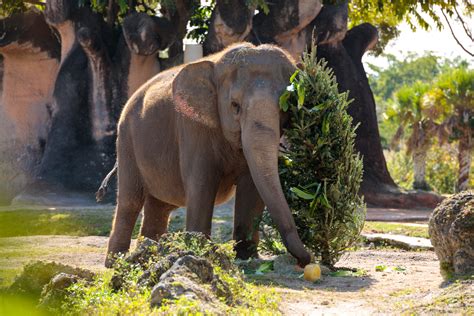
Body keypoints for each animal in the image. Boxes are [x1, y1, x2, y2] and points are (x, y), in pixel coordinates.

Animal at [104, 42, 312, 266]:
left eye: (287, 107)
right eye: (235, 106)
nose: (305, 261)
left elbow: (252, 187)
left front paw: (247, 258)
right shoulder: (193, 127)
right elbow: (202, 184)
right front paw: (198, 252)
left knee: (159, 206)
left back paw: (147, 256)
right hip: (126, 141)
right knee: (130, 202)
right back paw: (116, 262)